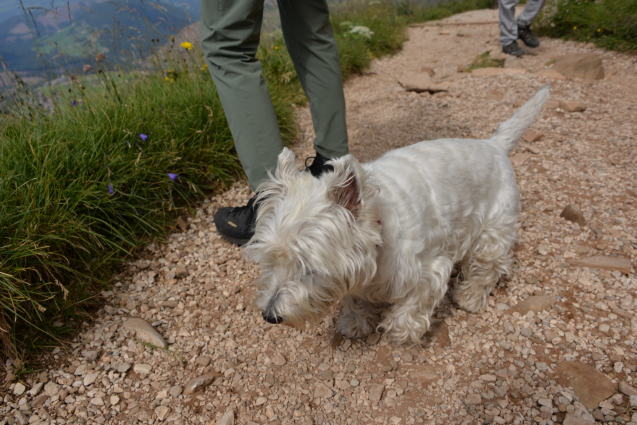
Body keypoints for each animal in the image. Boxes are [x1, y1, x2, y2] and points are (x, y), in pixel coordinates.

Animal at [246, 86, 548, 344]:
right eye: (270, 259)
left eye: (308, 268)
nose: (270, 316)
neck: (380, 227)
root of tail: (494, 145)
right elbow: (355, 298)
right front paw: (354, 323)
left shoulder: (429, 268)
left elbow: (415, 303)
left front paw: (400, 330)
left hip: (494, 228)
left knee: (488, 266)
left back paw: (470, 298)